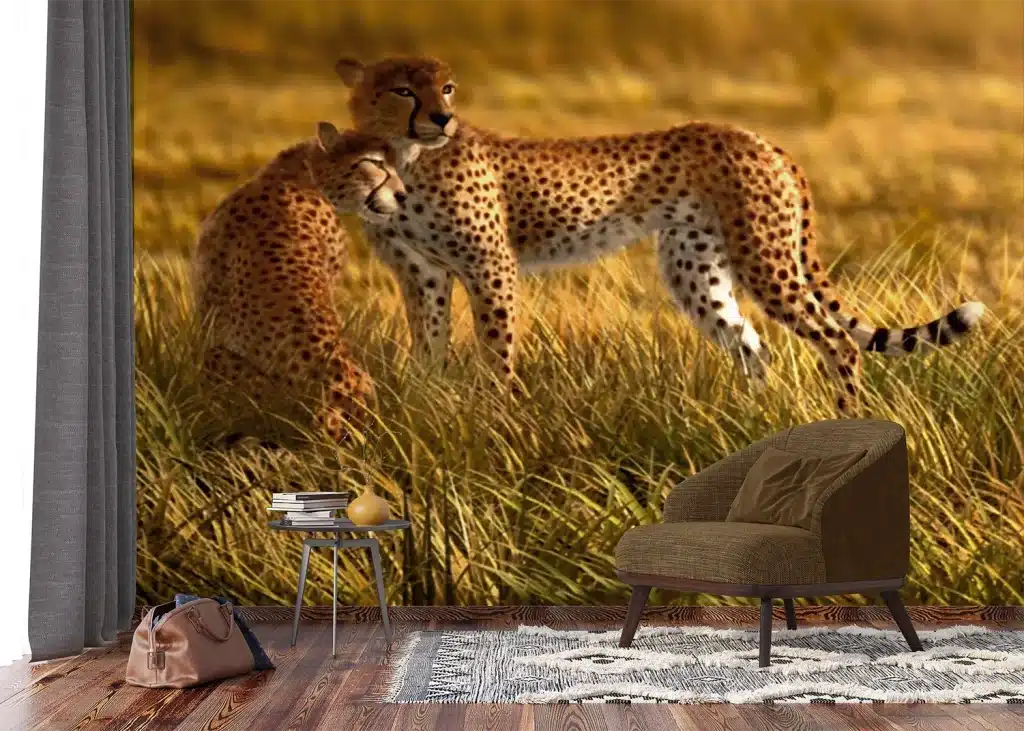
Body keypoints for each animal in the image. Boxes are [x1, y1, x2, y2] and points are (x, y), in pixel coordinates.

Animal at [331, 55, 984, 413]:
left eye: (447, 88)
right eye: (403, 88)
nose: (443, 117)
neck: (408, 156)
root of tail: (758, 136)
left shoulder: (491, 264)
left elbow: (497, 348)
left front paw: (500, 417)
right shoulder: (422, 273)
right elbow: (428, 345)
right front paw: (430, 409)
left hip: (764, 258)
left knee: (836, 340)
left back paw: (841, 422)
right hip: (696, 267)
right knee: (750, 342)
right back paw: (754, 425)